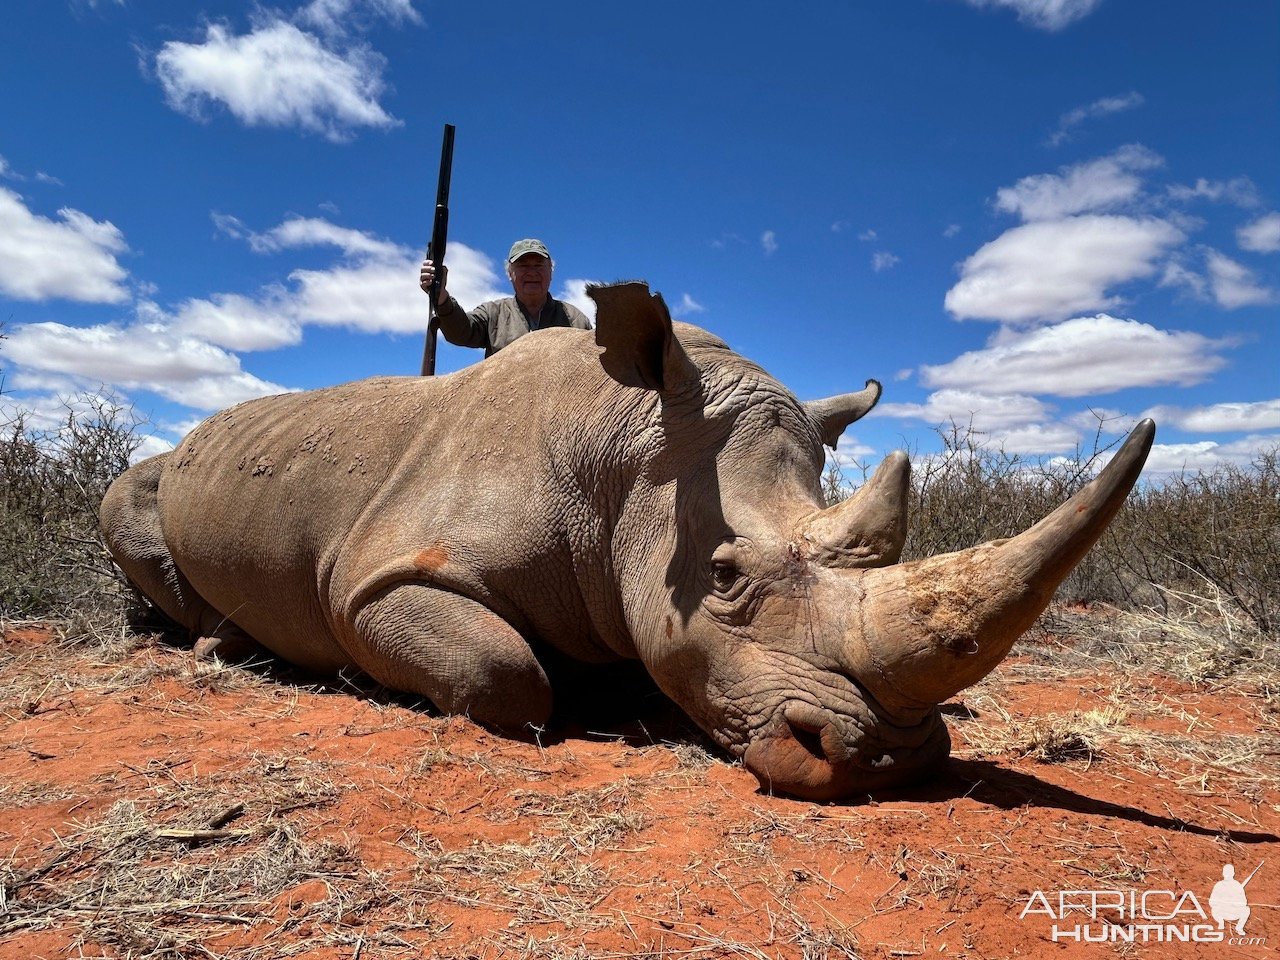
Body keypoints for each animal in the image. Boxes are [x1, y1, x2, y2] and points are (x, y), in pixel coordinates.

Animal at [99, 284, 1157, 803]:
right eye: (723, 578)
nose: (887, 760)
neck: (621, 454)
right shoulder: (372, 578)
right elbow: (504, 675)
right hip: (161, 474)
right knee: (129, 500)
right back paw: (217, 644)